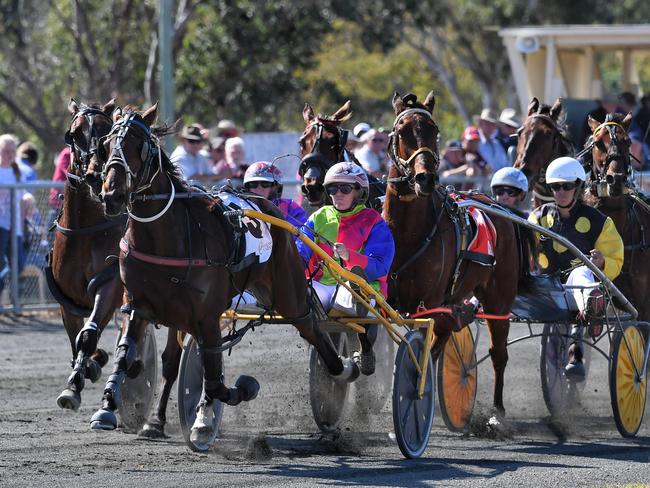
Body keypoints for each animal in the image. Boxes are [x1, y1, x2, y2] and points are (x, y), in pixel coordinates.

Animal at [88, 104, 352, 446]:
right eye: (105, 146)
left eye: (138, 146)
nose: (112, 196)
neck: (165, 235)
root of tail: (271, 209)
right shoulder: (139, 305)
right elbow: (126, 354)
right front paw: (107, 406)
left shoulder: (206, 314)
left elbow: (214, 377)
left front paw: (229, 399)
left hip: (288, 295)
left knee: (312, 329)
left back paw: (343, 370)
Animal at [384, 90, 532, 416]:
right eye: (401, 131)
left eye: (434, 130)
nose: (425, 178)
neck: (407, 235)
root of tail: (499, 208)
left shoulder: (426, 305)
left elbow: (419, 352)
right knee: (447, 334)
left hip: (499, 298)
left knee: (497, 352)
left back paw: (497, 412)